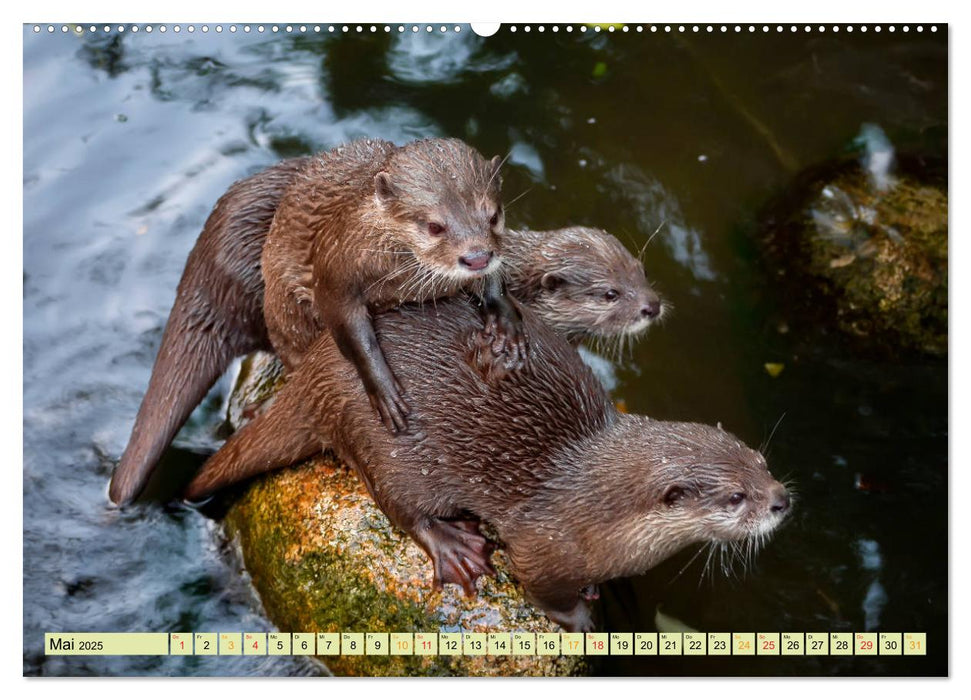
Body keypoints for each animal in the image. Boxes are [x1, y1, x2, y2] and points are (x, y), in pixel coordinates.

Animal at [182, 298, 788, 632]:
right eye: (736, 496)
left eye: (762, 462)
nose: (781, 500)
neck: (601, 506)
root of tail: (317, 370)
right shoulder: (546, 543)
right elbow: (541, 584)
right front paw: (581, 617)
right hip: (380, 439)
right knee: (401, 506)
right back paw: (457, 548)